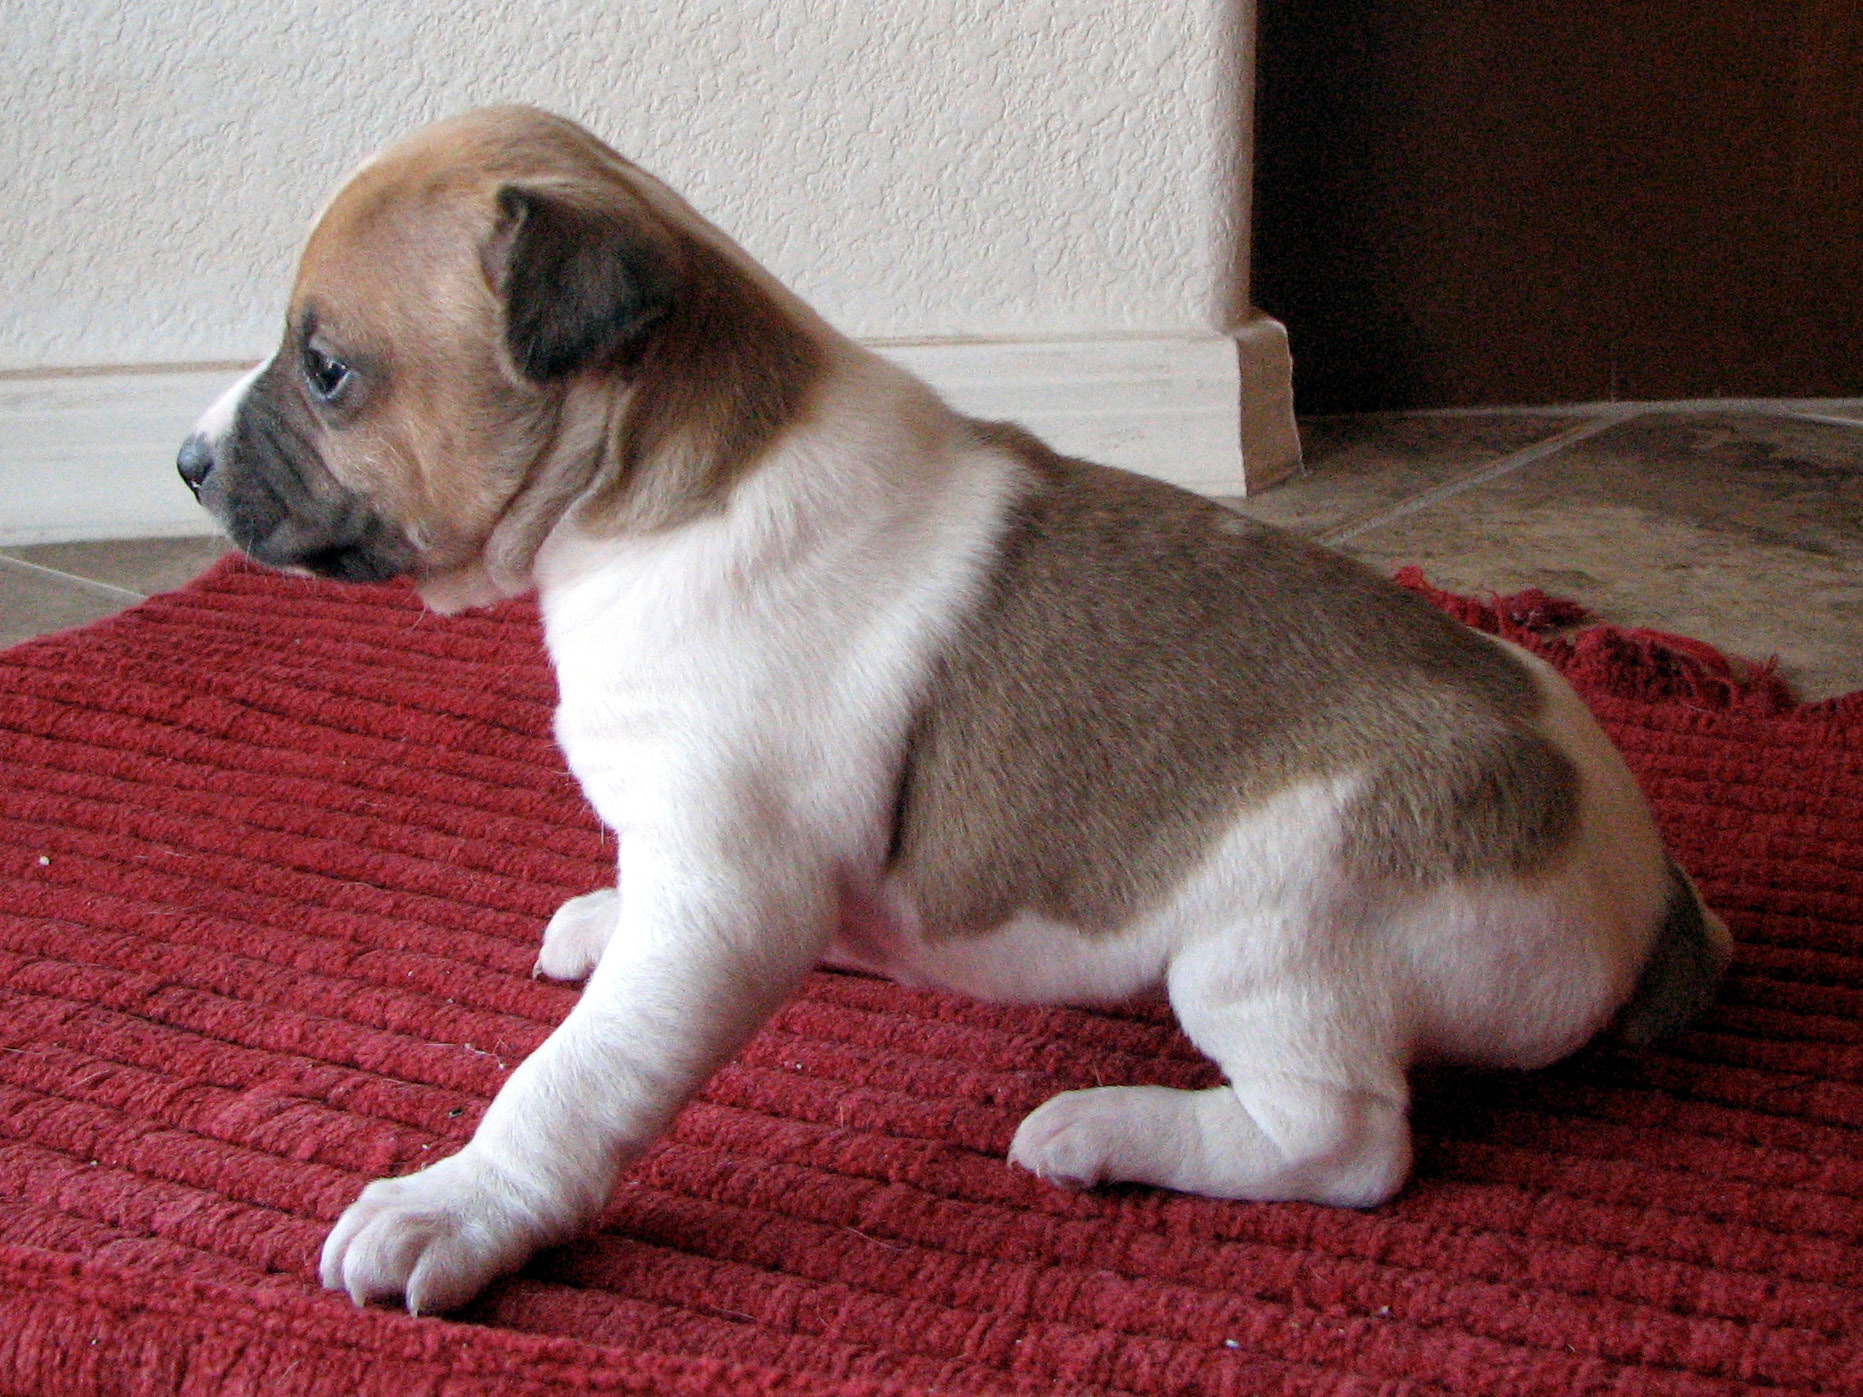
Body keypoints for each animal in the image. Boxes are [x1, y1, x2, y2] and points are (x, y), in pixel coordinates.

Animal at [177, 106, 1730, 1315]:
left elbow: (576, 1076)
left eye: (326, 368)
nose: (187, 459)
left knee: (1343, 1142)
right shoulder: (712, 875)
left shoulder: (724, 893)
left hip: (1280, 936)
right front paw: (607, 919)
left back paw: (1108, 1130)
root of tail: (1645, 889)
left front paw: (457, 1205)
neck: (638, 497)